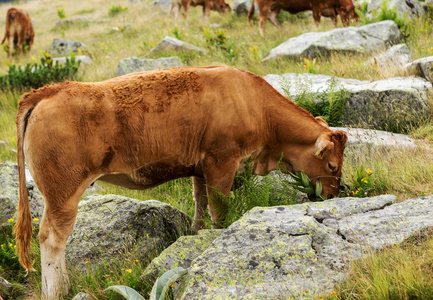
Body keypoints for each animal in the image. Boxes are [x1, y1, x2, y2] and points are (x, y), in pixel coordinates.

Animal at [16, 65, 346, 298]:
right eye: (331, 164)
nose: (332, 196)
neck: (255, 105)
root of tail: (49, 91)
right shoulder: (221, 163)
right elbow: (219, 212)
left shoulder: (200, 170)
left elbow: (200, 208)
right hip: (63, 194)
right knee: (52, 239)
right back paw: (57, 291)